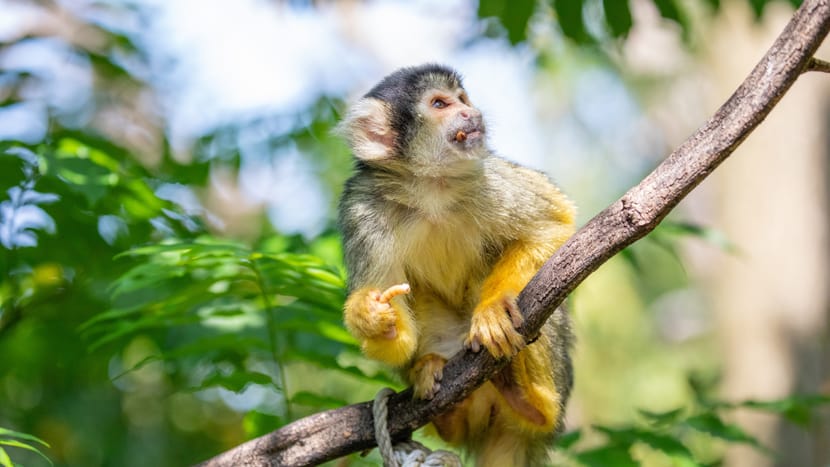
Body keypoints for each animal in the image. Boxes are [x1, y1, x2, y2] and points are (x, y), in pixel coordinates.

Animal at [334, 64, 576, 466]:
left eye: (462, 99)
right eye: (440, 104)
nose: (470, 113)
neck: (429, 186)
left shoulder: (483, 176)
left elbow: (554, 222)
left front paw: (492, 310)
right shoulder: (363, 208)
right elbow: (399, 334)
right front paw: (372, 315)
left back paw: (530, 402)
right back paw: (445, 403)